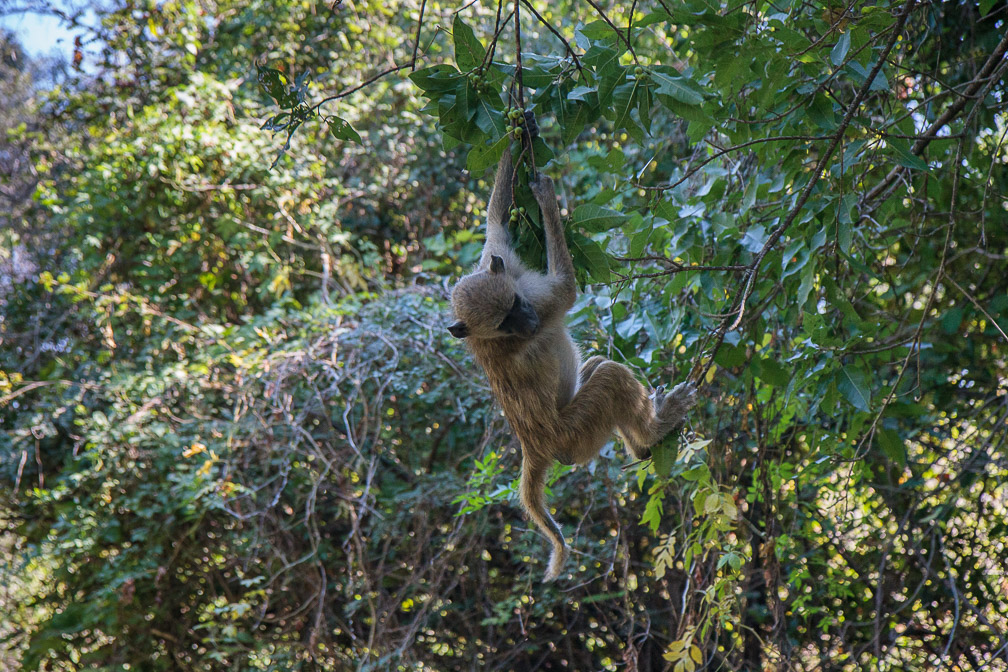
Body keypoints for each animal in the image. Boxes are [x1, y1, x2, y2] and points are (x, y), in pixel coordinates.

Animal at [447, 114, 693, 580]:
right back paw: (656, 428)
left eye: (513, 306)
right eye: (505, 322)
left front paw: (521, 127)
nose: (527, 322)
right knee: (610, 378)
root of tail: (535, 448)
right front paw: (546, 198)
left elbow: (496, 221)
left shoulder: (497, 263)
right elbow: (565, 292)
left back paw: (641, 444)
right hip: (575, 437)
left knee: (597, 366)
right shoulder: (543, 303)